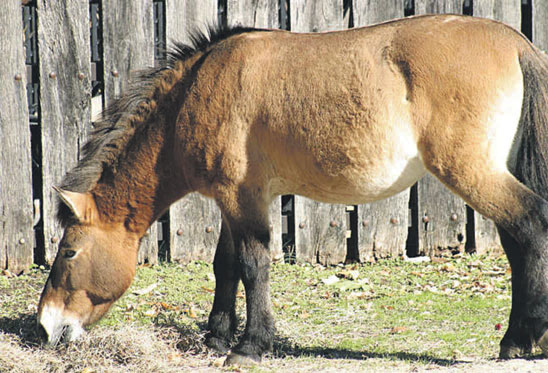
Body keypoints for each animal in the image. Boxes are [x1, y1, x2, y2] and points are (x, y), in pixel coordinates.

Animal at [36, 13, 548, 364]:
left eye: (69, 252)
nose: (45, 327)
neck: (197, 91)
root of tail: (516, 44)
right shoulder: (234, 201)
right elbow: (225, 266)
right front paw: (217, 335)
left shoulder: (242, 197)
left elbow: (253, 265)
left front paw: (250, 345)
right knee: (517, 242)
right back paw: (518, 340)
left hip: (471, 172)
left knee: (531, 225)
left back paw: (523, 337)